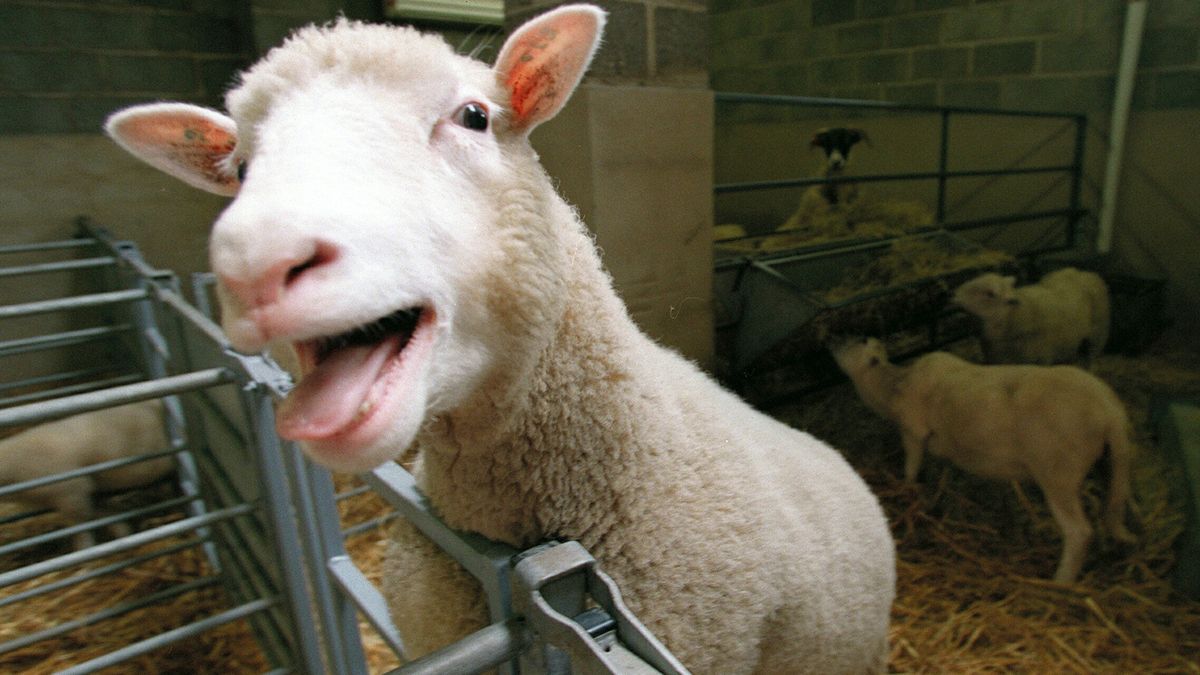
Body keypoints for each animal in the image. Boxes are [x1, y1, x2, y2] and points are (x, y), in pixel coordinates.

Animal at [0, 396, 174, 550]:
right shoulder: (88, 493)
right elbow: (101, 514)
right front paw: (124, 532)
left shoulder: (73, 493)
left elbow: (82, 524)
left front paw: (85, 550)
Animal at [830, 338, 1137, 581]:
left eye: (855, 343)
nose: (831, 342)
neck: (894, 386)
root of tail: (1111, 413)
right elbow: (939, 474)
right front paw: (936, 501)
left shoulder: (913, 431)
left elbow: (911, 468)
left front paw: (907, 493)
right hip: (1107, 463)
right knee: (1111, 505)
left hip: (1058, 472)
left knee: (1079, 532)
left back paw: (1060, 581)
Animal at [950, 265, 1108, 365]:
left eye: (990, 294)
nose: (954, 295)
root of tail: (1083, 272)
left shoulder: (1042, 359)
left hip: (1098, 333)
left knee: (1092, 356)